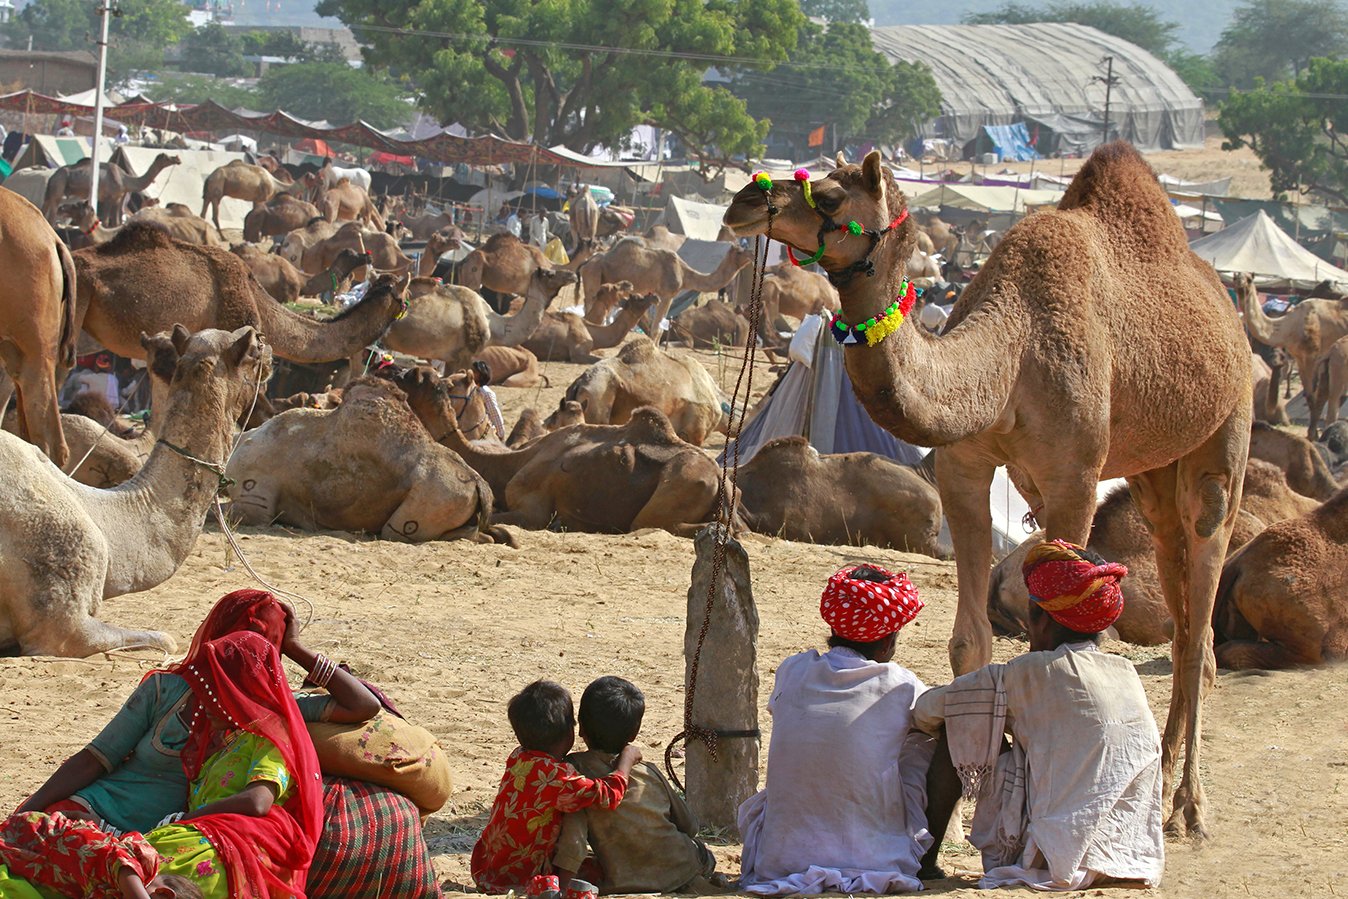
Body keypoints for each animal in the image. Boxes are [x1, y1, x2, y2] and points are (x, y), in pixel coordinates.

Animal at [43, 153, 180, 226]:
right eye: (166, 157)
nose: (177, 158)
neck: (125, 180)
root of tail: (52, 176)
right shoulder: (108, 198)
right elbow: (106, 222)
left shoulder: (117, 199)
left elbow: (116, 223)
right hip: (58, 186)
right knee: (51, 216)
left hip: (50, 192)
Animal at [578, 239, 755, 335]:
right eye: (740, 251)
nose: (753, 253)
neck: (684, 273)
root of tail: (586, 262)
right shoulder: (667, 294)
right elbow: (656, 328)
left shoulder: (662, 295)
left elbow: (659, 327)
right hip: (593, 275)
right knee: (589, 306)